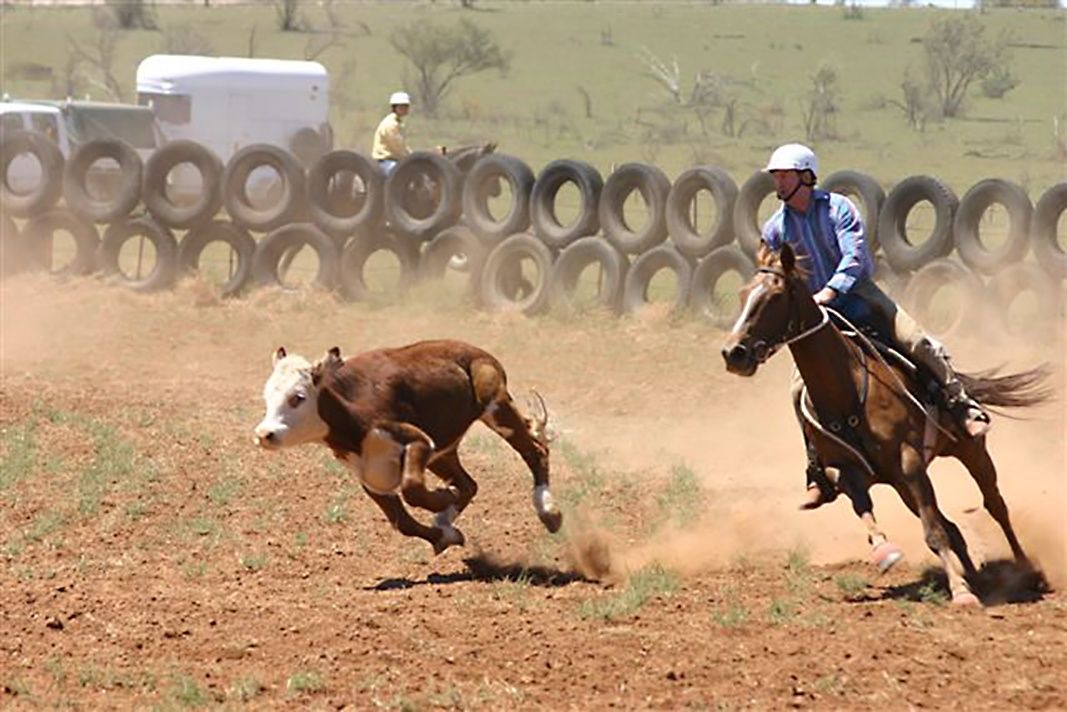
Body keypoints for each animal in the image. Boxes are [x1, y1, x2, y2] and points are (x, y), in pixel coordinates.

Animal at [252, 341, 563, 555]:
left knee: (535, 453)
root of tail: (478, 353)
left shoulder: (416, 439)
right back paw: (445, 518)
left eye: (297, 397)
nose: (265, 434)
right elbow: (402, 522)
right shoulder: (372, 478)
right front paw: (446, 535)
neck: (352, 422)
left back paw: (549, 512)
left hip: (497, 407)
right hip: (444, 451)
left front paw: (444, 497)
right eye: (267, 397)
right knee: (469, 484)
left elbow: (413, 489)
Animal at [721, 246, 1045, 606]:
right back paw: (975, 577)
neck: (847, 390)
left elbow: (934, 533)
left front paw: (960, 592)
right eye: (742, 294)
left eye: (775, 296)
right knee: (954, 528)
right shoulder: (848, 470)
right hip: (903, 486)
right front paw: (886, 552)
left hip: (969, 452)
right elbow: (866, 508)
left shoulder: (911, 463)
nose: (733, 353)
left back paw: (1026, 570)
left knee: (995, 506)